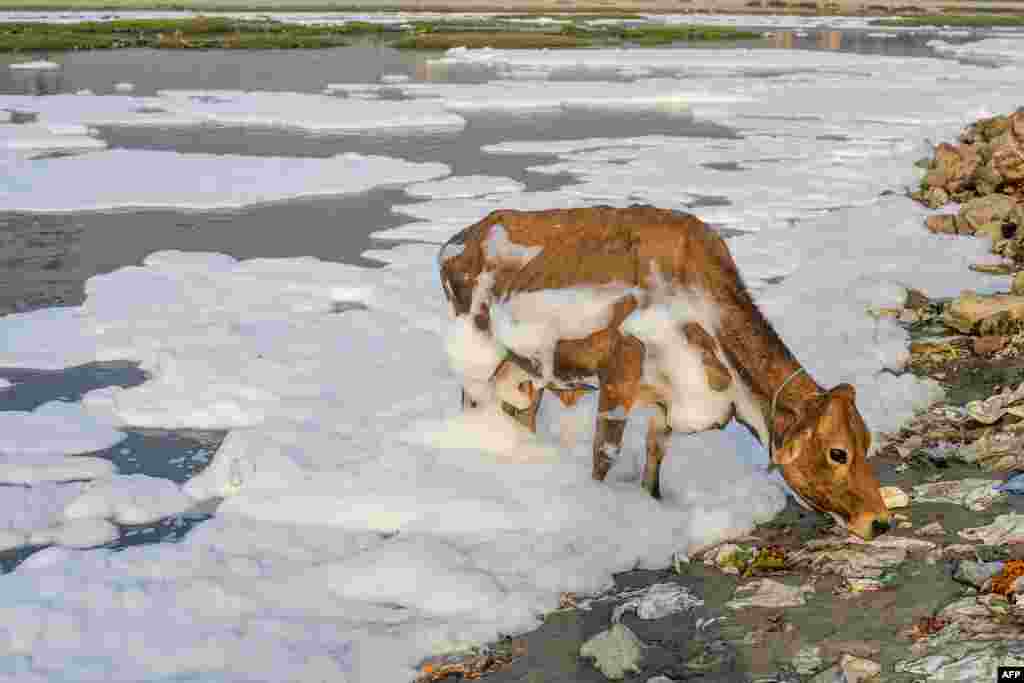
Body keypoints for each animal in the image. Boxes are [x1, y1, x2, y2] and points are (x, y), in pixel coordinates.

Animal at [436, 202, 892, 540]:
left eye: (867, 441)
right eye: (838, 452)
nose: (880, 521)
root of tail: (460, 241)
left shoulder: (665, 403)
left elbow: (654, 463)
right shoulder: (617, 378)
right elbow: (604, 456)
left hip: (523, 374)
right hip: (477, 361)